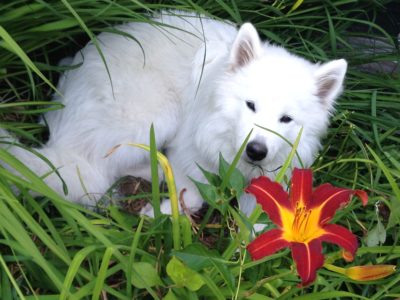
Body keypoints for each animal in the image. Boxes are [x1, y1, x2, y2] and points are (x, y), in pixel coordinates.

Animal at [0, 11, 346, 216]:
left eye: (286, 119)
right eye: (250, 105)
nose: (256, 151)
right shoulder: (187, 150)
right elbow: (192, 195)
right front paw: (161, 211)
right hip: (156, 117)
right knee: (97, 175)